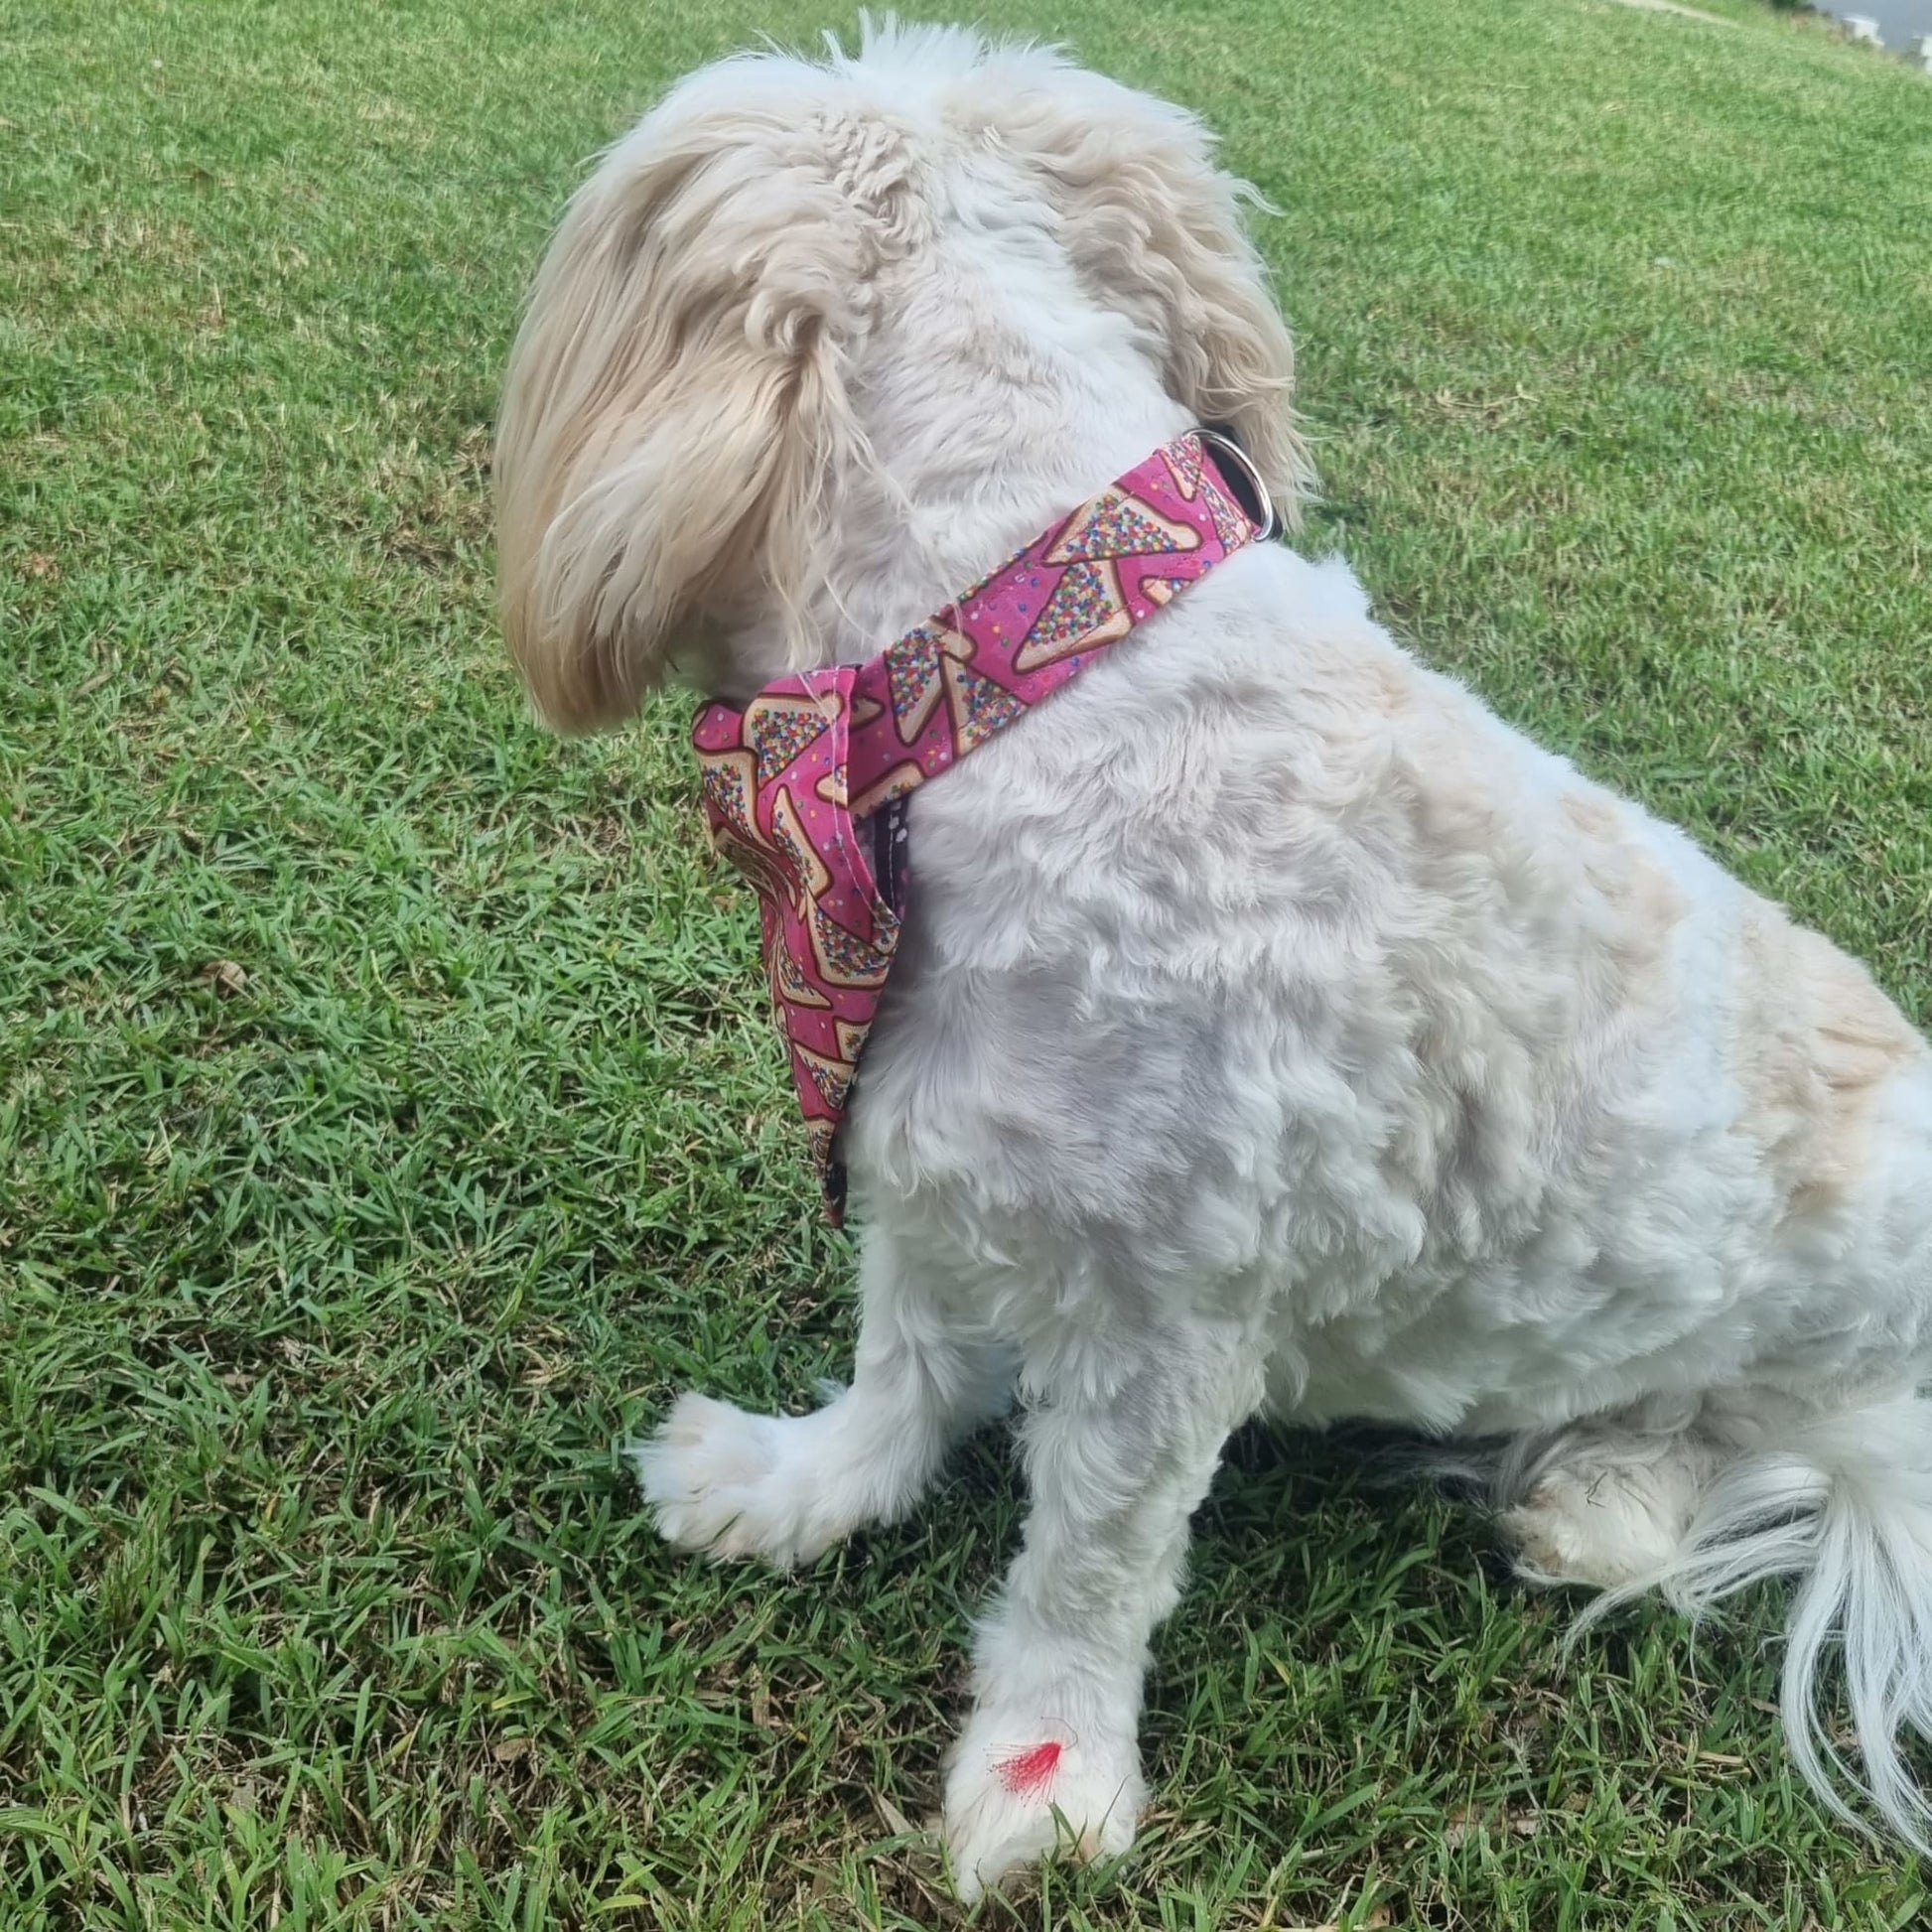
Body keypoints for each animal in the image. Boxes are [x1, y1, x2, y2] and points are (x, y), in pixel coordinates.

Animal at [490, 22, 1932, 1900]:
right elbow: (904, 1369)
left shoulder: (1164, 1322)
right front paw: (803, 1485)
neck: (1025, 673)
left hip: (1823, 1340)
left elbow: (1087, 1569)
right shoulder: (927, 1153)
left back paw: (1595, 1499)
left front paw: (1042, 1782)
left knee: (1750, 1447)